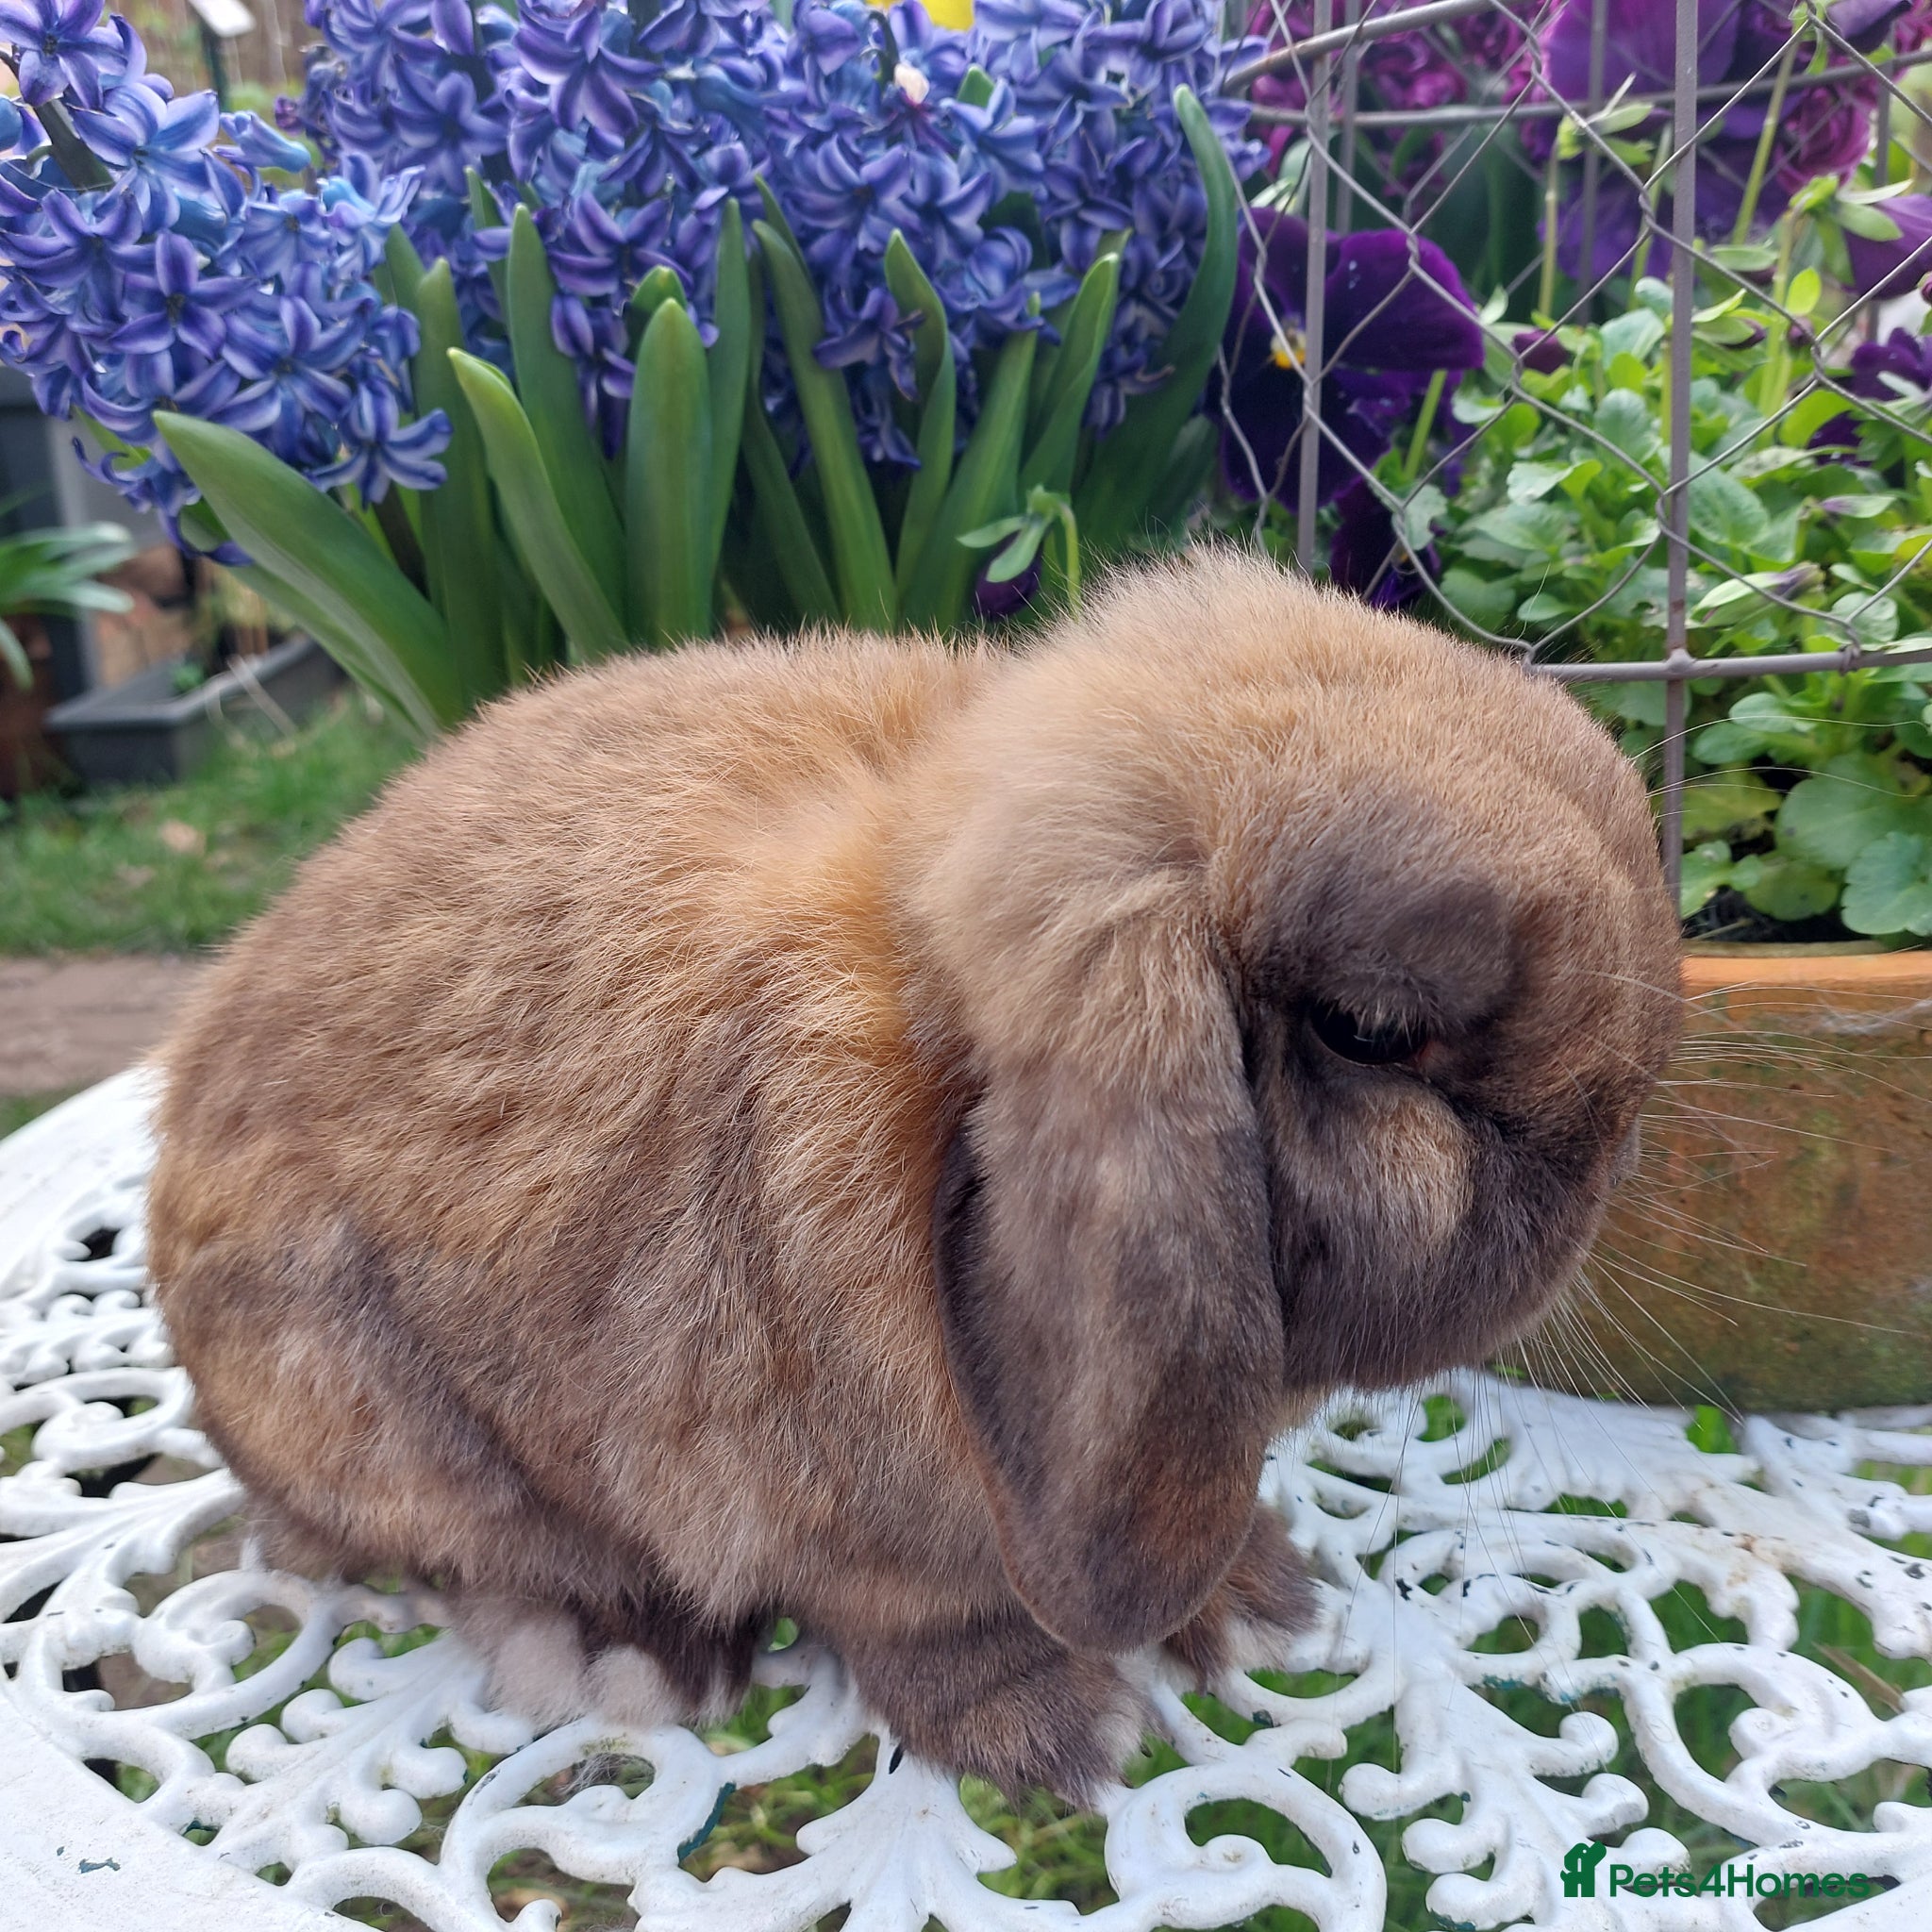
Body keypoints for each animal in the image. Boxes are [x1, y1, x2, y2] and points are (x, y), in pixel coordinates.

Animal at [147, 549, 1682, 1801]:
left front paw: (1249, 1598)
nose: (1617, 1139)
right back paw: (625, 1646)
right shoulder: (843, 1511)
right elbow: (934, 1618)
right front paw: (1050, 1726)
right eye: (1369, 1030)